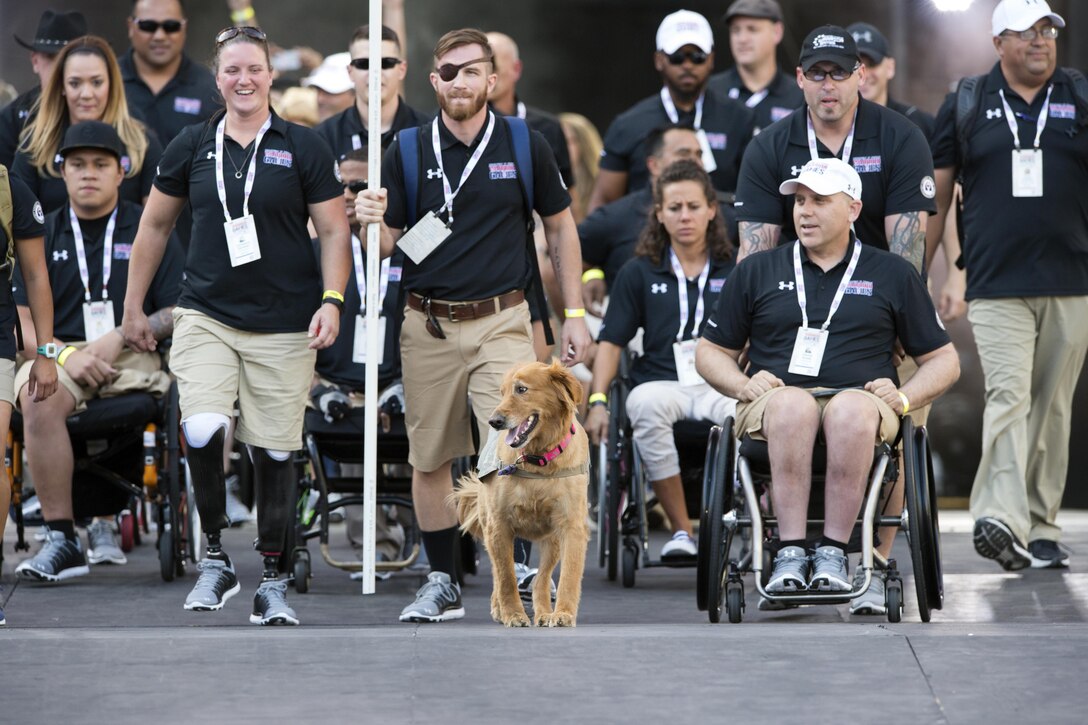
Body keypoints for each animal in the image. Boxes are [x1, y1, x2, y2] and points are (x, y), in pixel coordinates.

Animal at [454, 359, 591, 622]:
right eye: (502, 392)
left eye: (521, 389)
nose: (494, 421)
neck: (538, 460)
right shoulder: (499, 526)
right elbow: (506, 576)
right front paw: (513, 614)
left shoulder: (571, 525)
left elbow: (569, 575)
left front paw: (563, 613)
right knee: (498, 573)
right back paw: (499, 608)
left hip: (551, 540)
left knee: (541, 579)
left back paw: (544, 613)